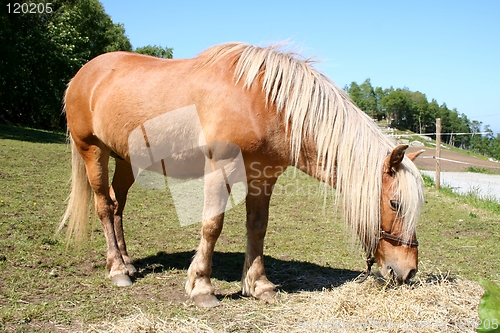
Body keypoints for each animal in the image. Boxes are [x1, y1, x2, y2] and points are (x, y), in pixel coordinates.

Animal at [60, 42, 424, 308]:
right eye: (395, 203)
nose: (407, 271)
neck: (266, 103)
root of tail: (83, 74)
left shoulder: (263, 178)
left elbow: (258, 228)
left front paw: (258, 284)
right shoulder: (218, 169)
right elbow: (211, 226)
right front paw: (202, 287)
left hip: (126, 160)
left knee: (117, 204)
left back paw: (127, 261)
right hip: (93, 151)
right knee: (104, 206)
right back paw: (118, 269)